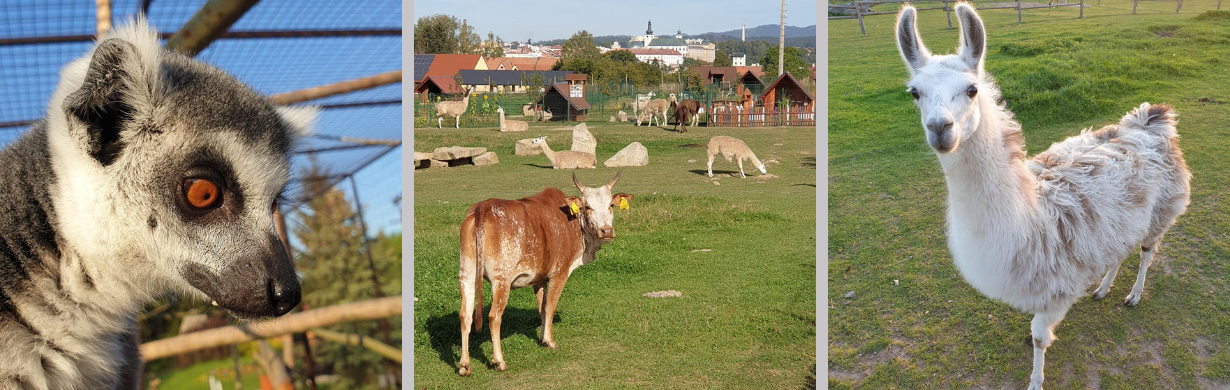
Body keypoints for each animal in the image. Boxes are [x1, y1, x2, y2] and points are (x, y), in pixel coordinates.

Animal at [460, 171, 634, 374]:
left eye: (611, 205)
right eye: (587, 207)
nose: (606, 230)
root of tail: (484, 207)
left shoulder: (539, 278)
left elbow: (541, 307)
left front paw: (543, 339)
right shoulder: (560, 273)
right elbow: (550, 306)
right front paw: (550, 341)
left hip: (467, 274)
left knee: (465, 315)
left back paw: (464, 364)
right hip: (501, 280)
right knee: (494, 317)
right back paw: (499, 361)